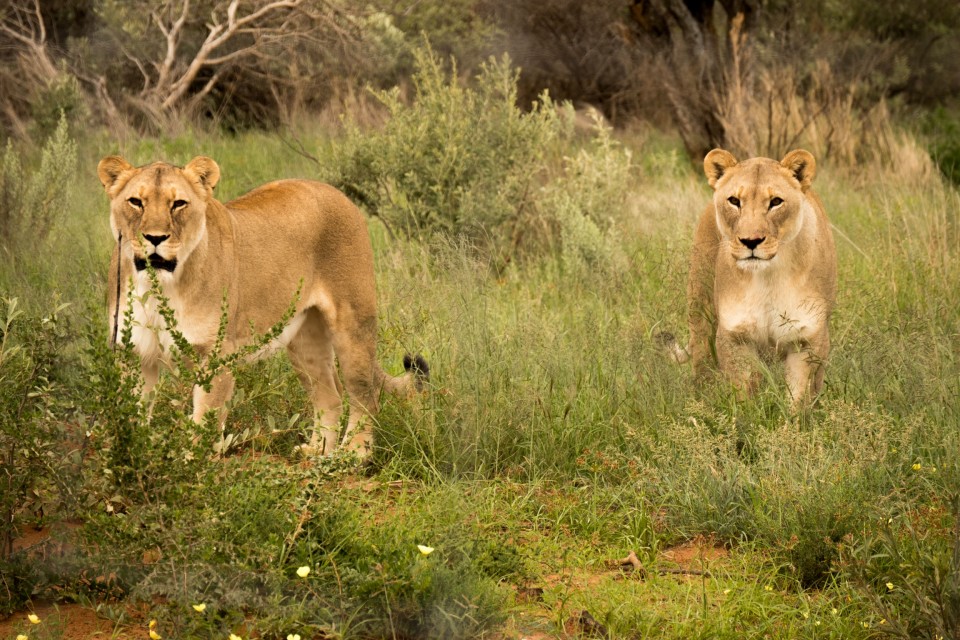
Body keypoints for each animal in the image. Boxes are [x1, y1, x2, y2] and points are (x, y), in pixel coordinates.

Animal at [97, 155, 428, 457]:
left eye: (178, 203)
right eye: (135, 202)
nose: (154, 238)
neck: (158, 285)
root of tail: (338, 193)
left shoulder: (217, 355)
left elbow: (204, 425)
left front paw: (191, 470)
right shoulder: (133, 352)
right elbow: (131, 418)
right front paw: (130, 462)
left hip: (353, 325)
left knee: (365, 395)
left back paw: (354, 456)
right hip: (304, 340)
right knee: (330, 395)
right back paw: (317, 453)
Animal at [659, 149, 837, 408]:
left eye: (776, 202)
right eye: (734, 201)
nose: (750, 241)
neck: (768, 279)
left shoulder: (808, 338)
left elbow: (799, 399)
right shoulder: (735, 336)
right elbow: (743, 393)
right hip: (700, 307)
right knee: (701, 363)